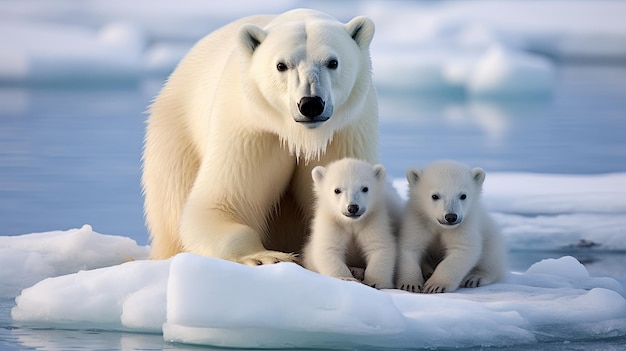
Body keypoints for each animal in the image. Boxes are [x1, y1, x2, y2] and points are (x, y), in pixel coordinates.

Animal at [141, 8, 376, 266]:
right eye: (281, 65)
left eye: (333, 62)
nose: (310, 103)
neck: (300, 135)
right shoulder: (251, 131)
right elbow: (218, 205)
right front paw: (266, 256)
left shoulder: (344, 133)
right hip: (176, 134)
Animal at [300, 160, 392, 288]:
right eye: (337, 190)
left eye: (365, 188)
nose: (353, 207)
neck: (351, 223)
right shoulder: (332, 222)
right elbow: (328, 249)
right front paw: (346, 278)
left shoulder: (372, 220)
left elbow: (379, 247)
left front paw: (374, 282)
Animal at [398, 161, 504, 292]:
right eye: (435, 196)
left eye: (463, 195)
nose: (451, 217)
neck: (439, 225)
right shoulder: (419, 220)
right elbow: (409, 247)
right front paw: (409, 285)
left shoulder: (464, 224)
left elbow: (462, 249)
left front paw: (434, 285)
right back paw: (427, 272)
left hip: (490, 234)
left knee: (491, 257)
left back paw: (475, 277)